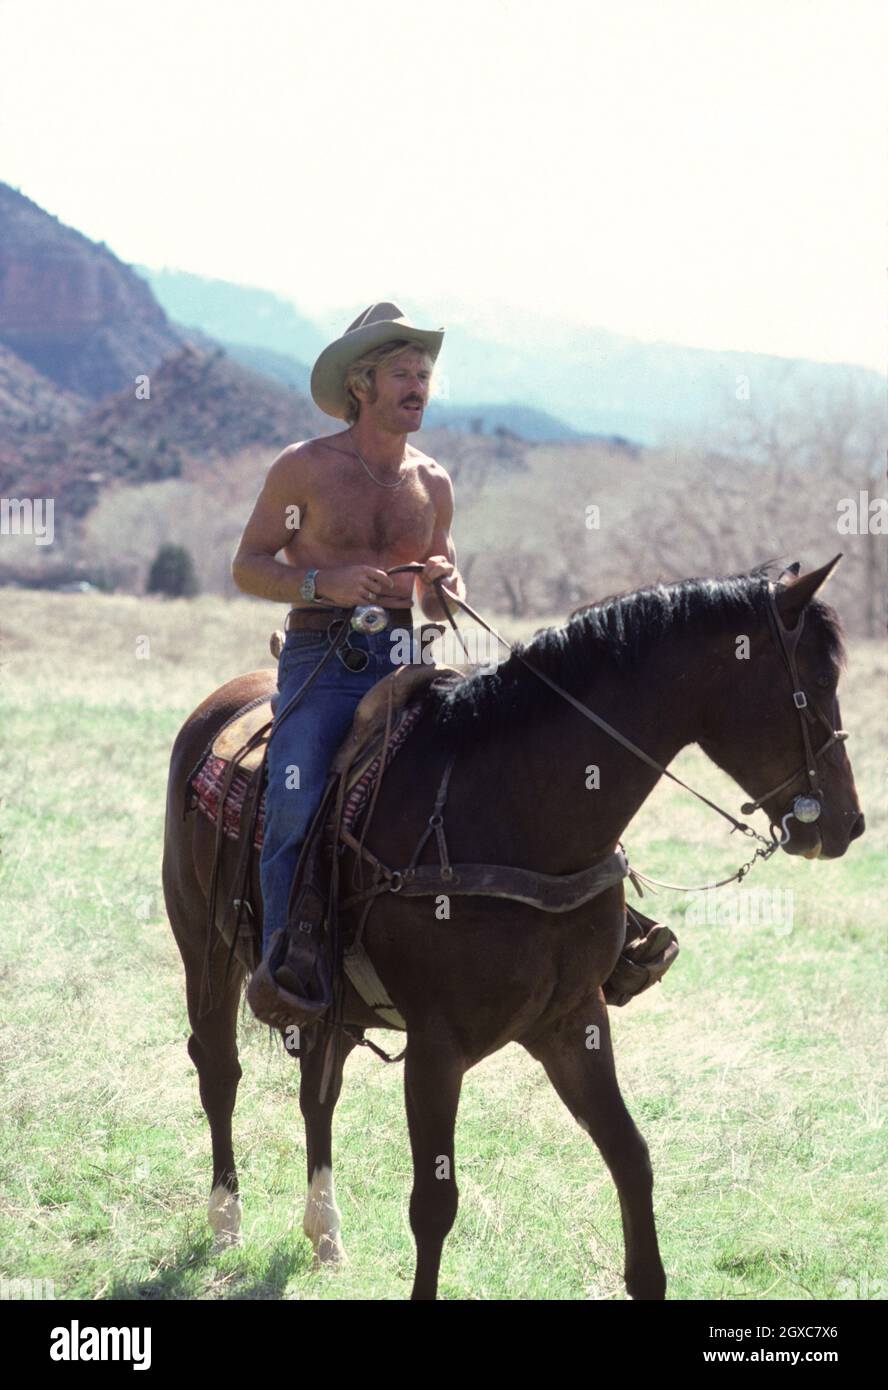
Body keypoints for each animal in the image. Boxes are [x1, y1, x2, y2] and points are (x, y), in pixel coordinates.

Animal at [163, 558, 867, 1295]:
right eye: (819, 680)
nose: (848, 823)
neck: (516, 814)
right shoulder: (437, 1047)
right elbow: (433, 1203)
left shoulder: (573, 1021)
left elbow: (631, 1157)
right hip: (204, 953)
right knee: (219, 1071)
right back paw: (225, 1222)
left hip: (327, 1003)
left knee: (318, 1091)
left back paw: (326, 1235)